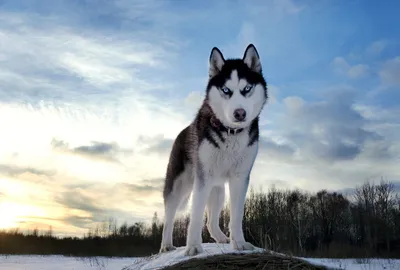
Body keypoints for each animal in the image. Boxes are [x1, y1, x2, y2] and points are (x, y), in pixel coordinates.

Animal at [159, 43, 266, 255]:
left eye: (247, 88)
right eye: (226, 90)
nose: (239, 113)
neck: (230, 133)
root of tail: (181, 132)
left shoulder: (240, 178)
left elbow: (236, 216)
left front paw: (239, 243)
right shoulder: (203, 178)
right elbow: (195, 216)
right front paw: (193, 246)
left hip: (217, 190)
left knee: (210, 221)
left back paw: (221, 238)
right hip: (179, 186)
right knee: (169, 217)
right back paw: (166, 245)